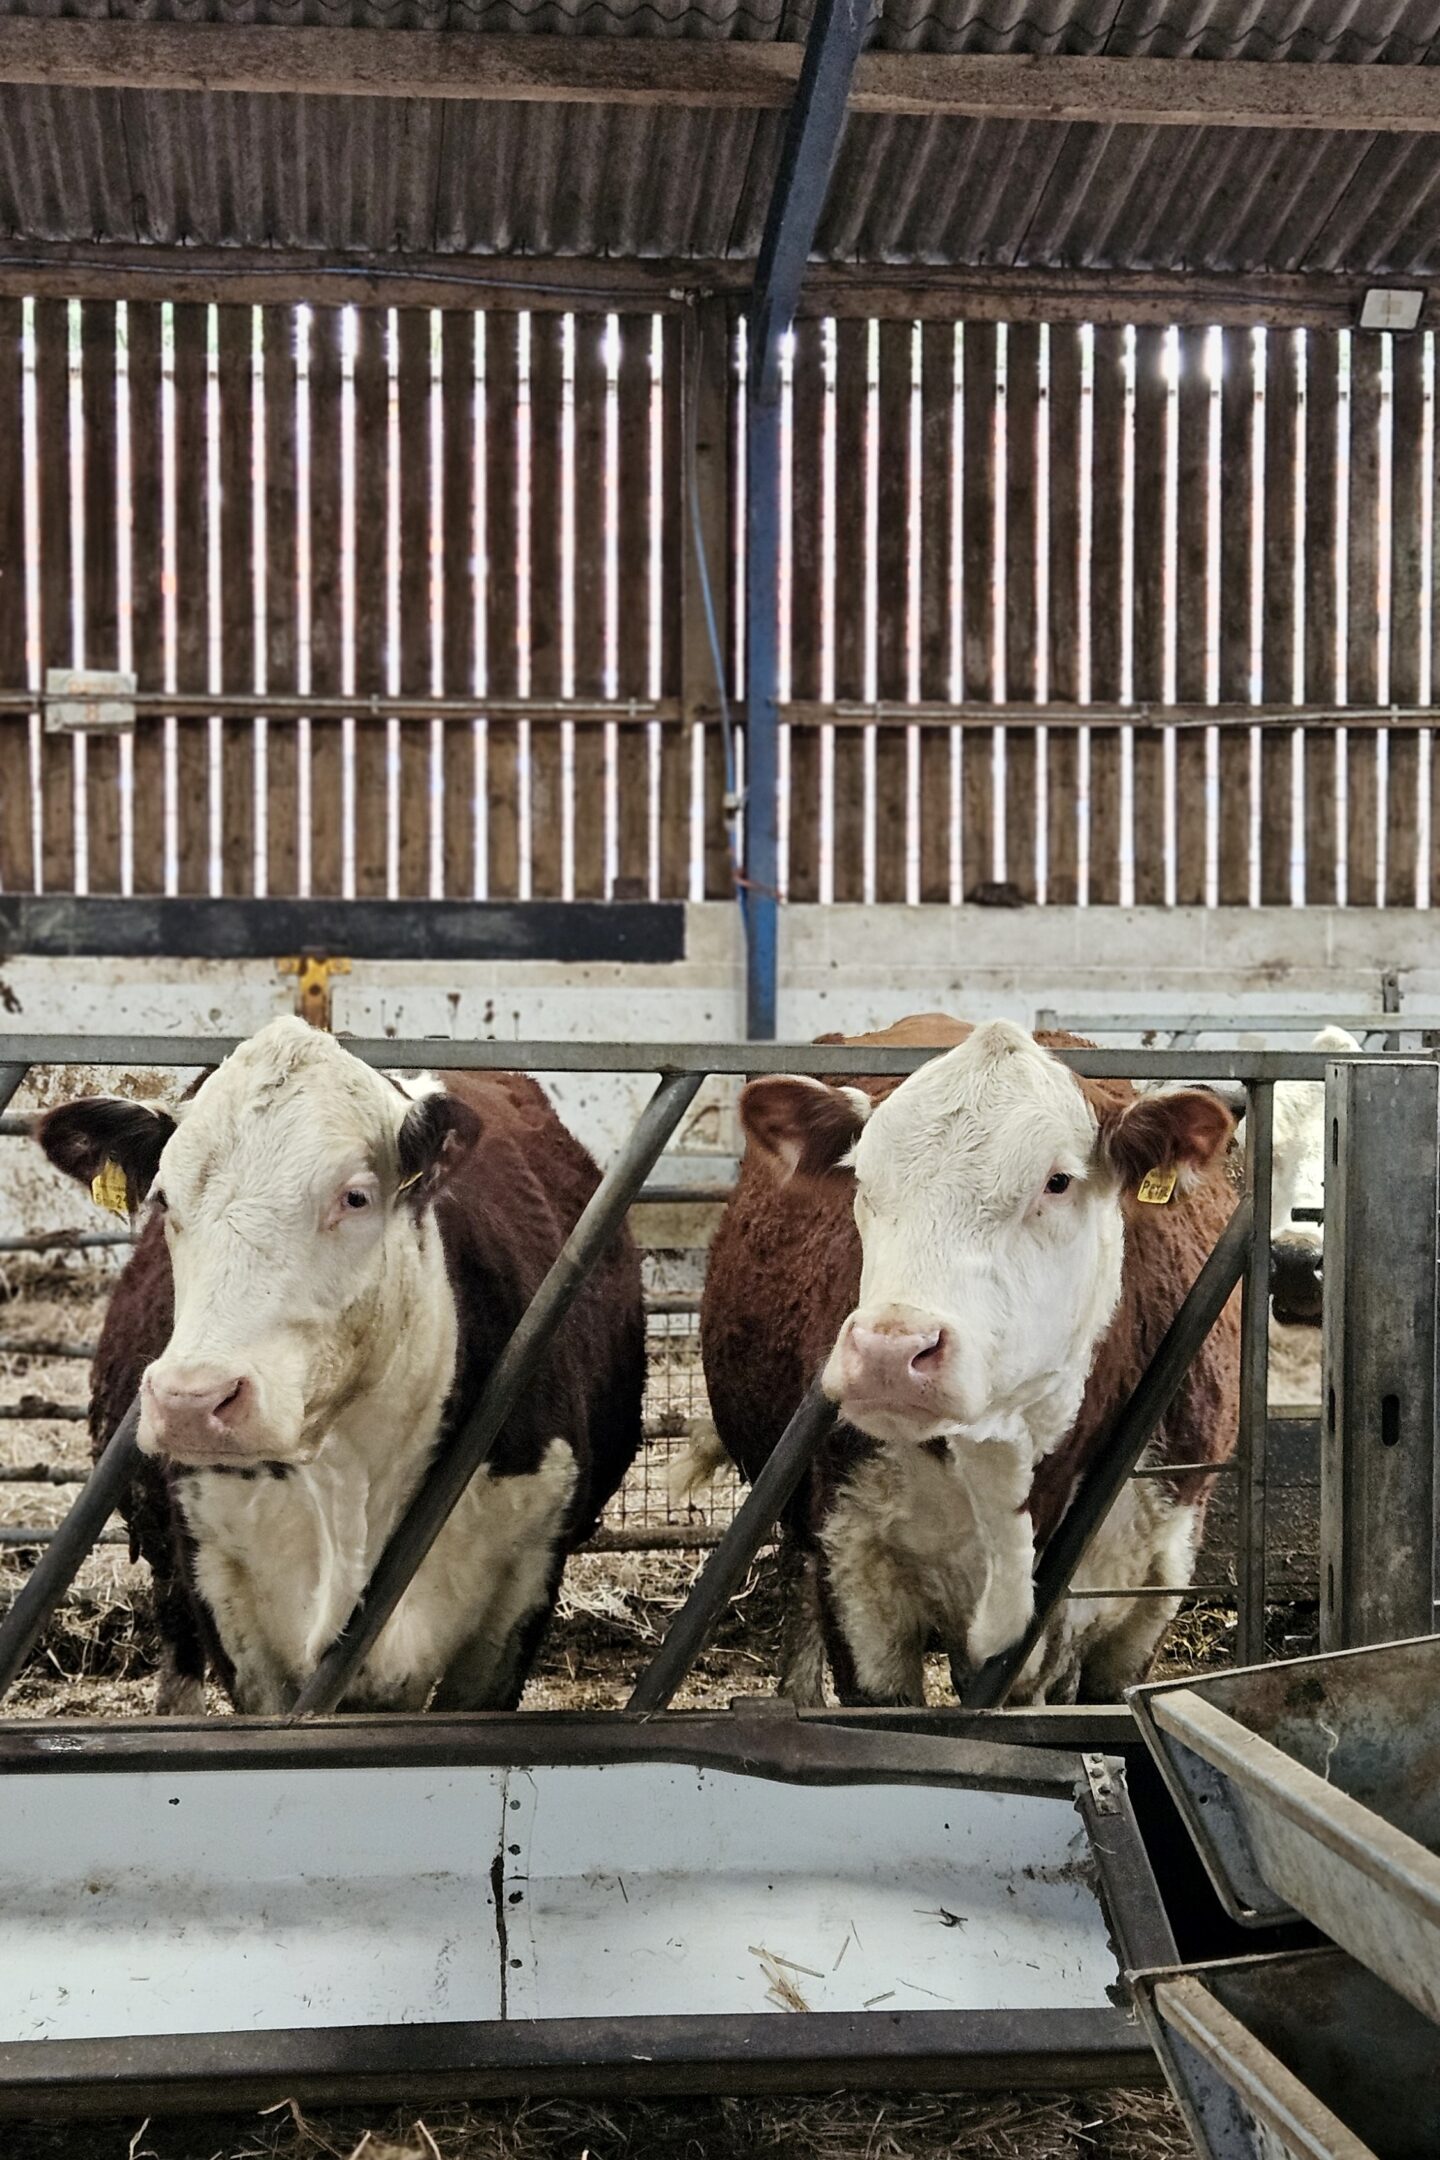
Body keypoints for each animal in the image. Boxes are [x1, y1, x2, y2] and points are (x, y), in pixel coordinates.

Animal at [37, 1018, 645, 1716]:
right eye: (164, 1199)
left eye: (355, 1197)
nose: (192, 1400)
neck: (352, 1482)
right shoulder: (224, 1597)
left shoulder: (521, 1589)